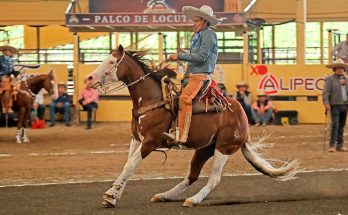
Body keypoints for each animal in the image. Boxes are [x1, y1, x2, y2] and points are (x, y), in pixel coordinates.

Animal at [85, 44, 302, 207]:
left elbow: (130, 165)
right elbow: (127, 165)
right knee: (192, 176)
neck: (152, 99)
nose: (89, 79)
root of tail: (242, 117)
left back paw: (193, 200)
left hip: (224, 147)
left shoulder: (150, 141)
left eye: (111, 62)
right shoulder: (136, 139)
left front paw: (110, 194)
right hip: (205, 148)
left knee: (213, 179)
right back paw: (165, 195)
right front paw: (113, 196)